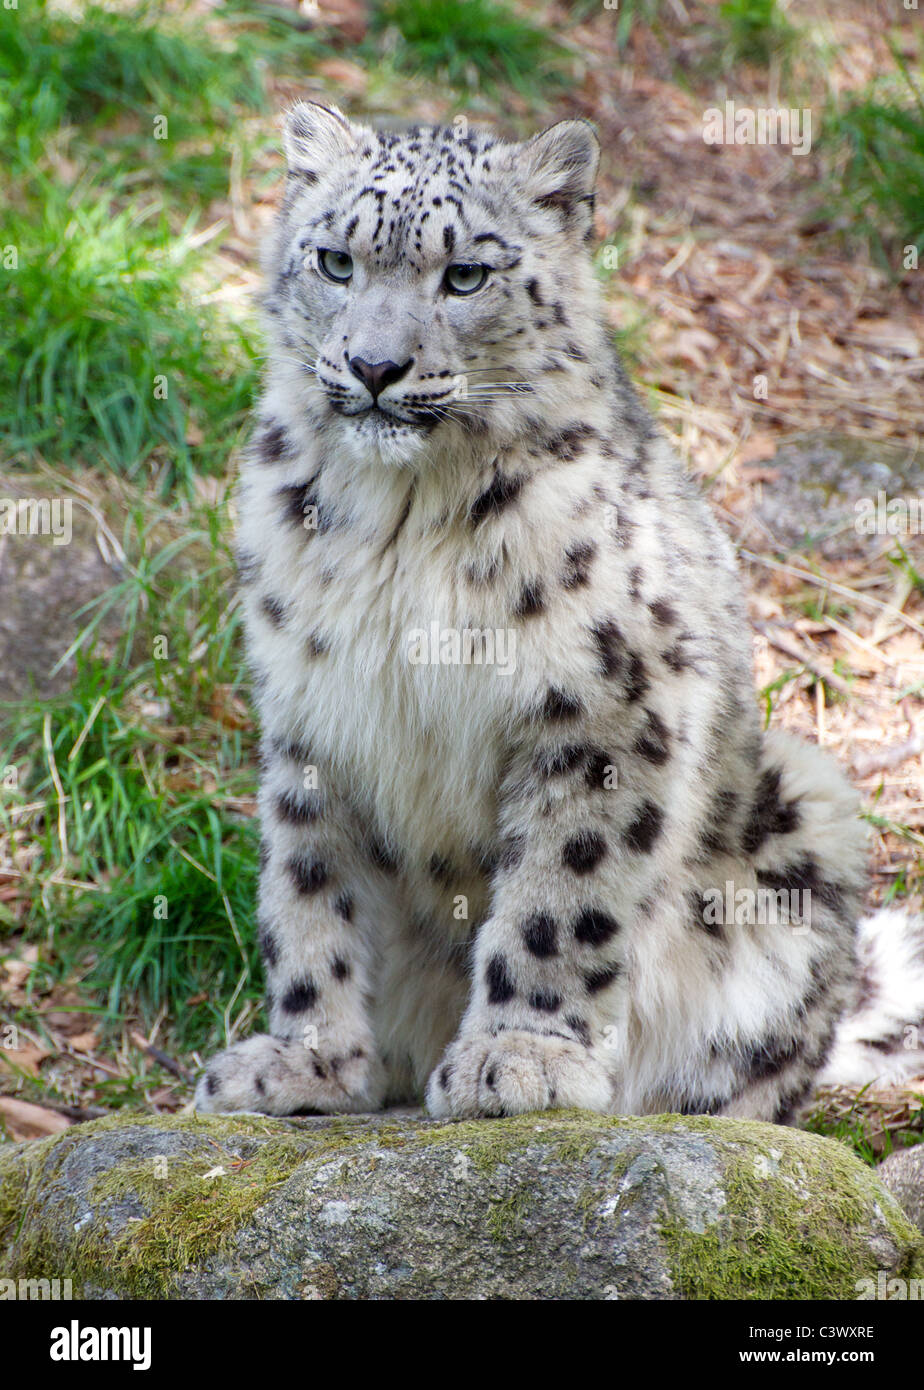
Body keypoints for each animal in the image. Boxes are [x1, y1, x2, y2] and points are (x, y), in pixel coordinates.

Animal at [194, 105, 922, 1128]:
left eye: (465, 274)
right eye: (335, 261)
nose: (376, 366)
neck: (401, 523)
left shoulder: (598, 716)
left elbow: (560, 895)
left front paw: (519, 1058)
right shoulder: (313, 721)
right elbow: (310, 894)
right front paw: (305, 1064)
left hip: (805, 811)